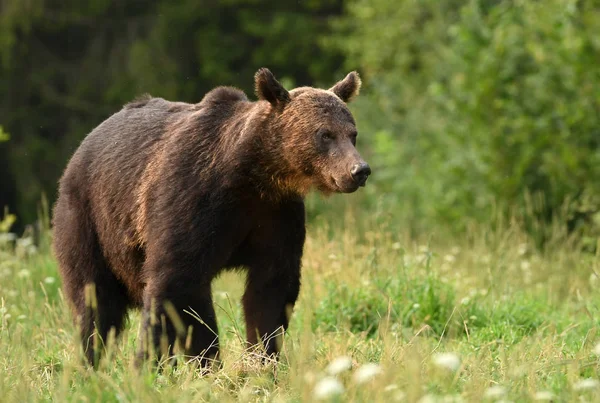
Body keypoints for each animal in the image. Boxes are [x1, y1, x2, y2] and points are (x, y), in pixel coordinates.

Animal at [51, 68, 370, 368]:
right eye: (325, 134)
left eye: (352, 133)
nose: (359, 170)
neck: (253, 176)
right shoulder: (192, 200)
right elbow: (175, 282)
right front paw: (154, 363)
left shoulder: (276, 214)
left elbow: (270, 288)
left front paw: (262, 357)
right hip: (89, 220)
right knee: (95, 299)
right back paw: (92, 361)